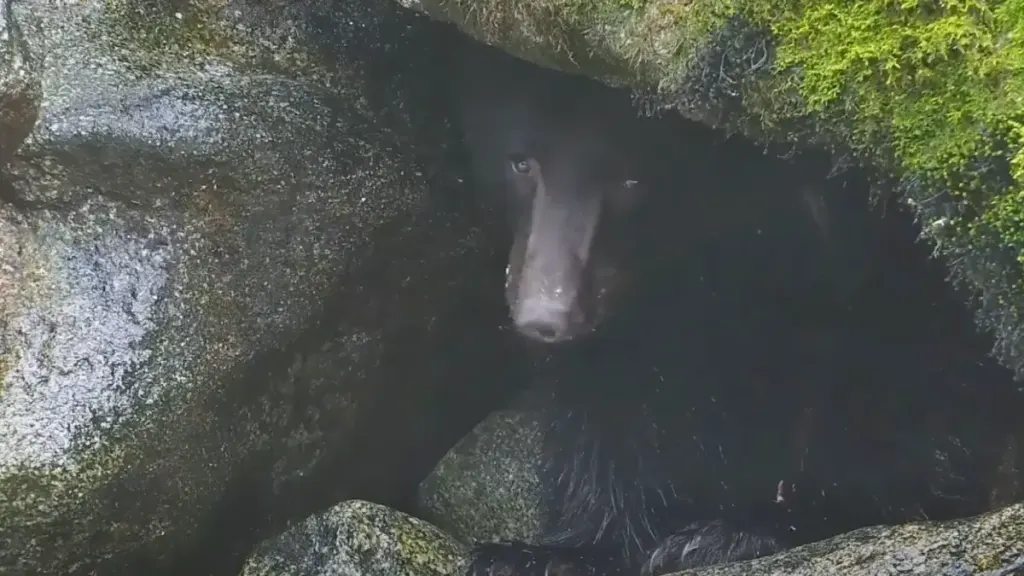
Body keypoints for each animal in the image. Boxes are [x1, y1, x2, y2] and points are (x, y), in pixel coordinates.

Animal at [449, 38, 1023, 576]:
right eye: (521, 162)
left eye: (631, 180)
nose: (547, 317)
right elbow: (619, 392)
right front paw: (550, 551)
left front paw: (738, 529)